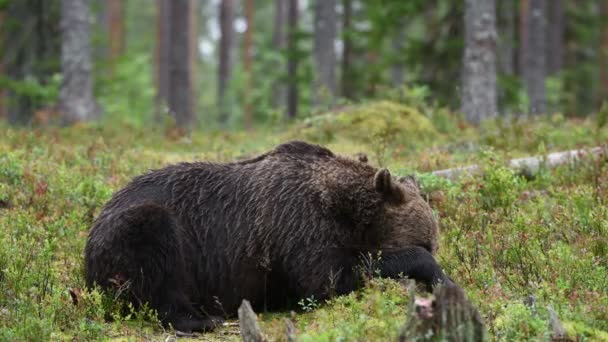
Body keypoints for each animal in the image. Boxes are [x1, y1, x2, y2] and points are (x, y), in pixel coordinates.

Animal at [83, 140, 452, 332]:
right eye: (427, 241)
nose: (431, 246)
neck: (343, 207)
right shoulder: (298, 225)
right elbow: (328, 278)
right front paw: (436, 273)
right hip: (136, 231)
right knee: (158, 267)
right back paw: (203, 319)